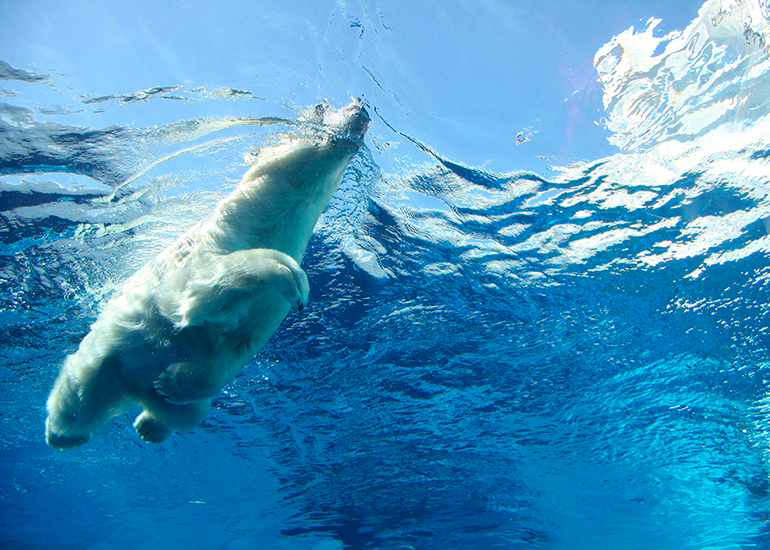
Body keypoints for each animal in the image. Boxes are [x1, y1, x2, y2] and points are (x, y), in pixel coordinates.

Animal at [45, 99, 370, 448]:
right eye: (320, 108)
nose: (362, 108)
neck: (270, 218)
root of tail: (134, 388)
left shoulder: (270, 305)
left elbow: (238, 348)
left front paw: (171, 383)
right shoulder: (212, 240)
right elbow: (194, 287)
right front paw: (290, 274)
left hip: (165, 396)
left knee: (188, 415)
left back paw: (150, 424)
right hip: (109, 356)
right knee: (77, 395)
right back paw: (61, 434)